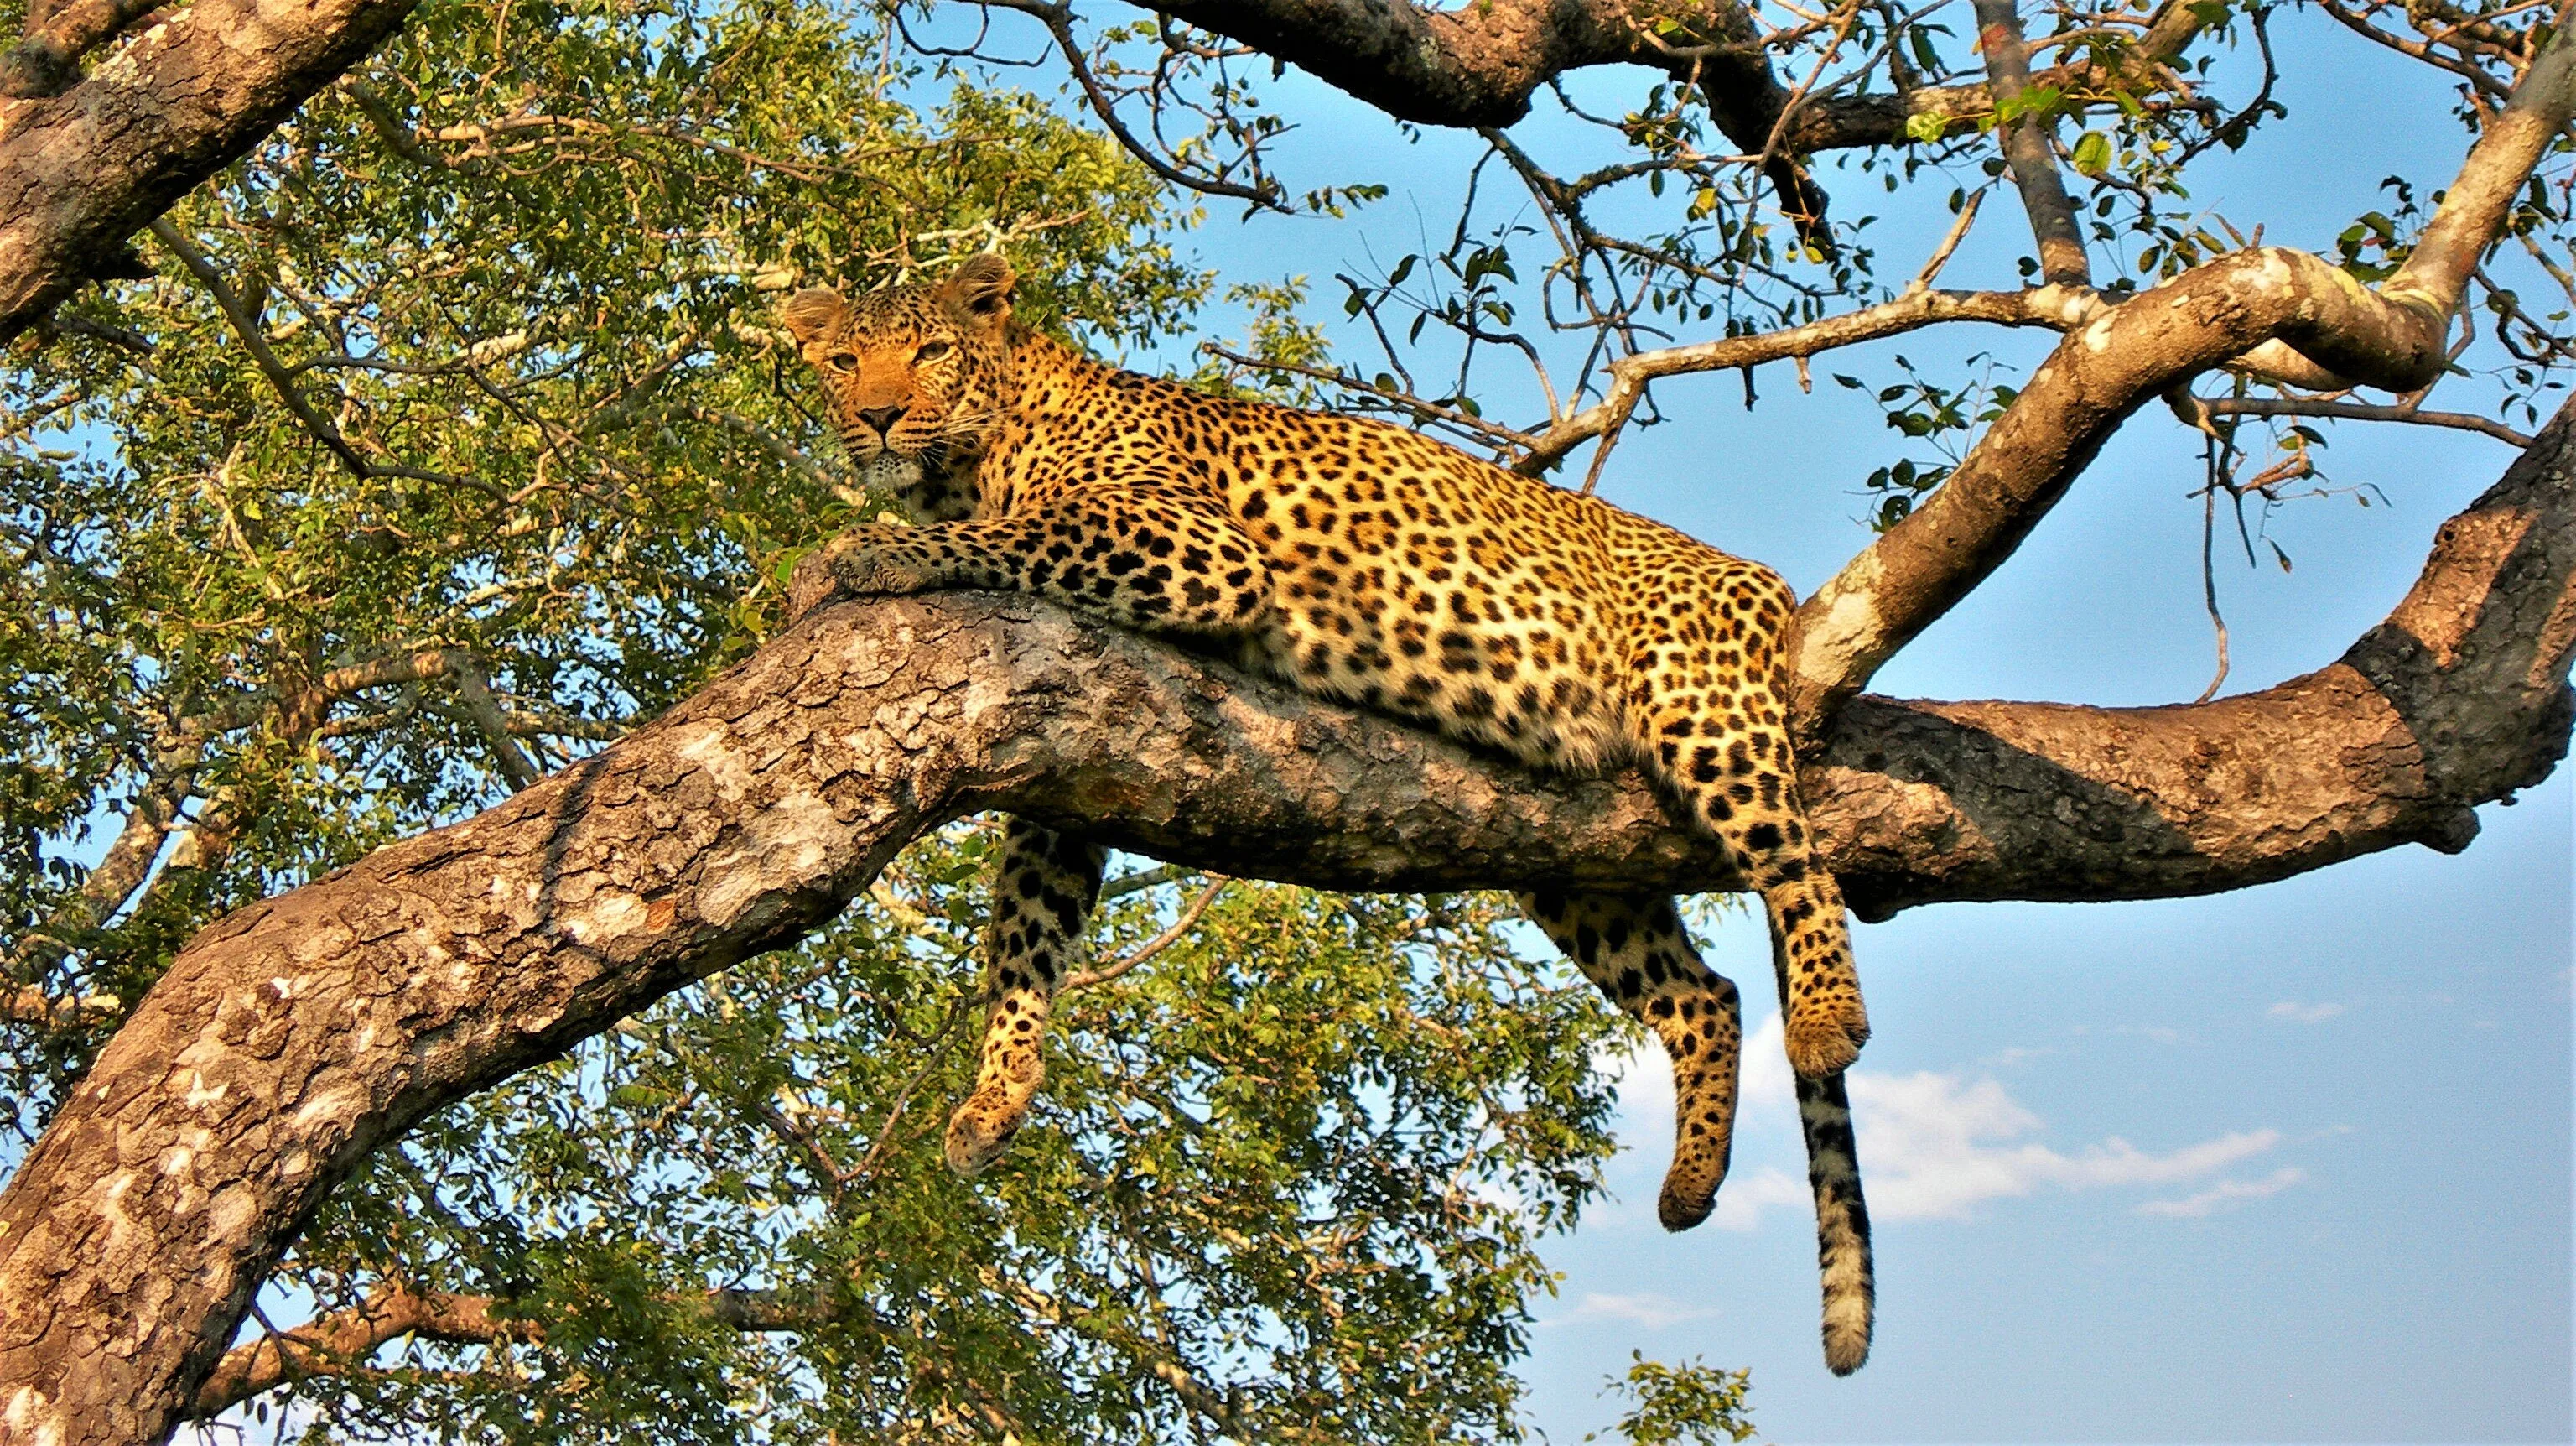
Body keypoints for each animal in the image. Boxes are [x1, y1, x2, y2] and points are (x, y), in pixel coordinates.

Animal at [781, 255, 1876, 1375]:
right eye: (843, 360)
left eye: (929, 351)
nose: (876, 417)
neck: (978, 453)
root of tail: (1758, 578)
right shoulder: (1074, 752)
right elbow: (1025, 933)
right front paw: (997, 1091)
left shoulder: (1194, 541)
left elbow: (1009, 534)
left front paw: (862, 551)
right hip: (1574, 873)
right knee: (1709, 994)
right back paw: (1691, 1181)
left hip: (1702, 704)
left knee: (1798, 866)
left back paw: (1826, 1018)